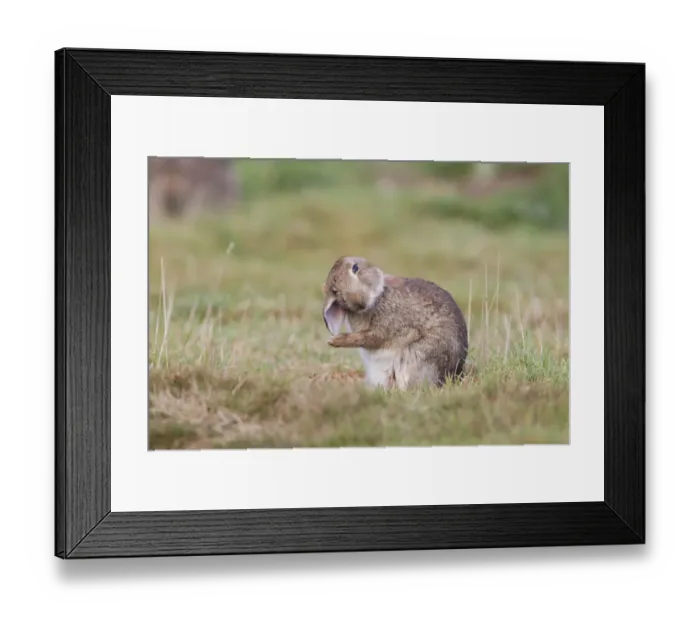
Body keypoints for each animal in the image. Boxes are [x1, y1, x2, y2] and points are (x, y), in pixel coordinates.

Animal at [322, 256, 468, 390]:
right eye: (335, 291)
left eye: (355, 268)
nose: (358, 303)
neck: (377, 298)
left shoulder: (391, 327)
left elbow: (374, 337)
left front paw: (335, 340)